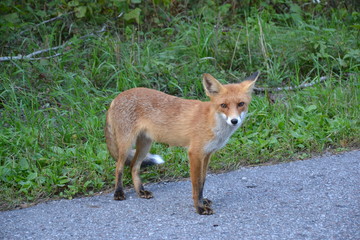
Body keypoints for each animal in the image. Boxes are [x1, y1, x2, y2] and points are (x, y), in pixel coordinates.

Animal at [104, 72, 258, 215]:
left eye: (241, 104)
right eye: (223, 105)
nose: (234, 121)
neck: (212, 122)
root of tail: (116, 97)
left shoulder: (207, 154)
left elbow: (202, 181)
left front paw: (202, 201)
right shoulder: (194, 153)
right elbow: (196, 184)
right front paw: (200, 208)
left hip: (145, 144)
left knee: (134, 167)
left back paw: (141, 191)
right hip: (126, 145)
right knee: (119, 167)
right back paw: (118, 192)